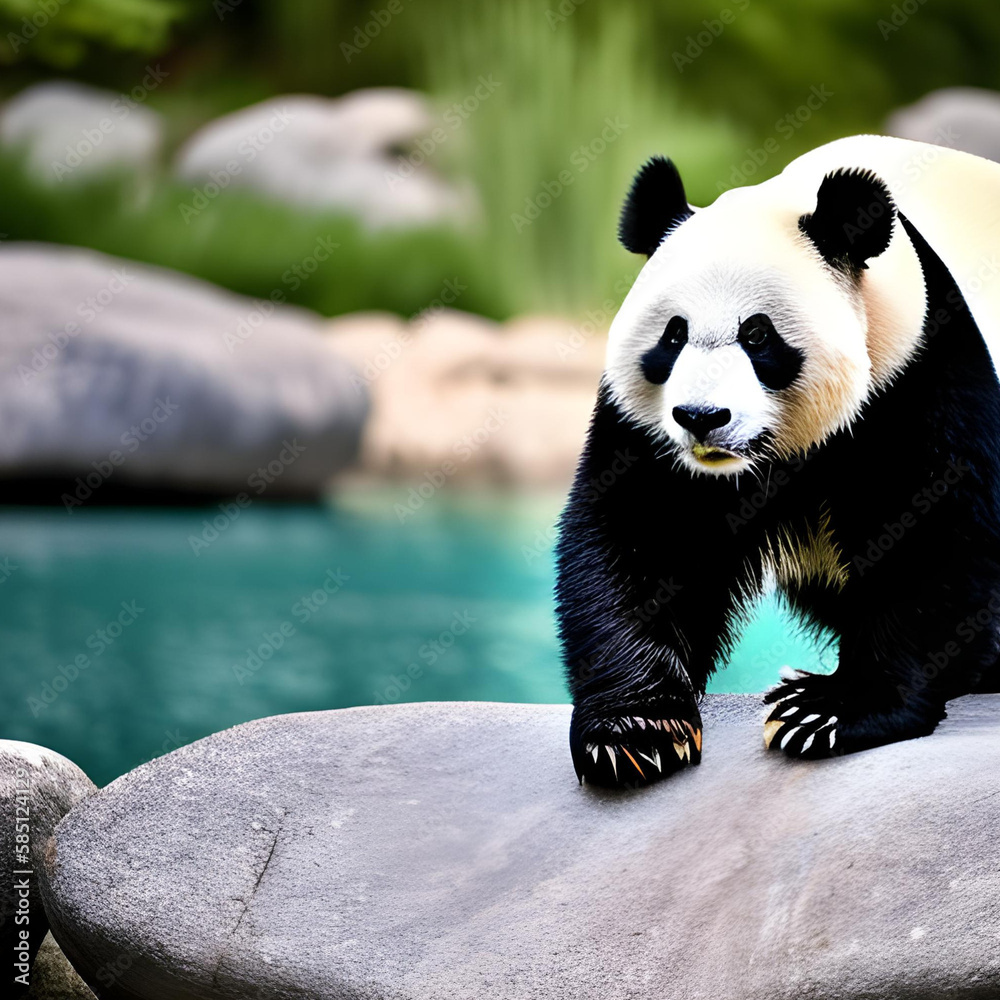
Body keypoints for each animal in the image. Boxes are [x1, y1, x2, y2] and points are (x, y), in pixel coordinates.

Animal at [556, 134, 1000, 787]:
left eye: (758, 336)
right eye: (673, 335)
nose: (702, 417)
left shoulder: (921, 368)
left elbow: (935, 534)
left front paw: (825, 710)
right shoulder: (647, 433)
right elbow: (640, 536)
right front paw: (636, 731)